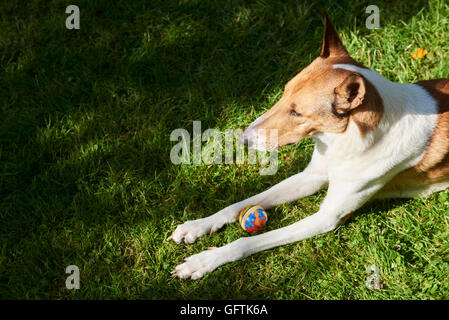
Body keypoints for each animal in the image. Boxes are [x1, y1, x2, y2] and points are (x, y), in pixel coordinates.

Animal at [166, 11, 446, 280]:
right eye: (283, 92)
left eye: (297, 112)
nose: (243, 139)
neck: (345, 141)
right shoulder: (311, 176)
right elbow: (237, 204)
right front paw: (197, 225)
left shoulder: (326, 218)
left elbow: (246, 242)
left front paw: (204, 261)